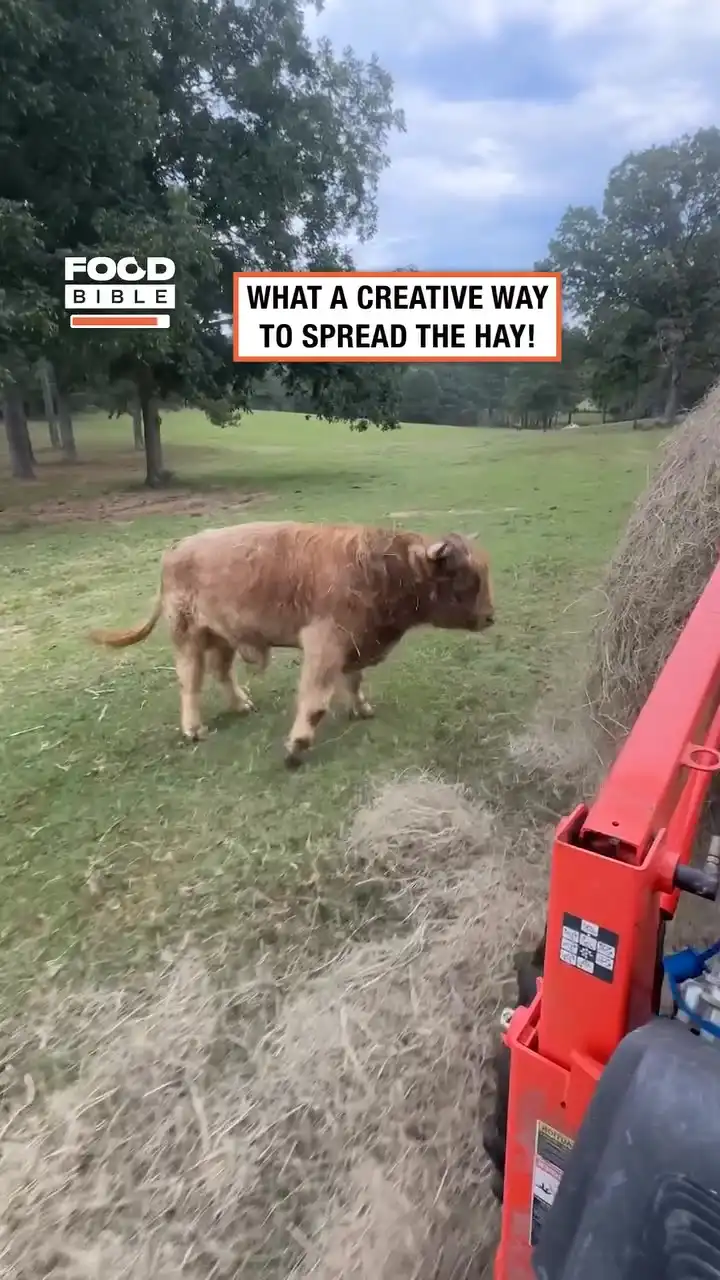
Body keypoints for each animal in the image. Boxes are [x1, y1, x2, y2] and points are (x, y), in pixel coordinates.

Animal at [88, 520, 494, 766]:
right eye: (468, 578)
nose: (491, 616)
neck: (381, 569)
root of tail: (177, 548)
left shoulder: (355, 643)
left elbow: (354, 681)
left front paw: (362, 708)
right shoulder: (324, 643)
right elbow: (315, 701)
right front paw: (297, 747)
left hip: (224, 633)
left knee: (220, 670)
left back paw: (241, 705)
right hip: (188, 632)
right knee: (191, 679)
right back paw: (193, 729)